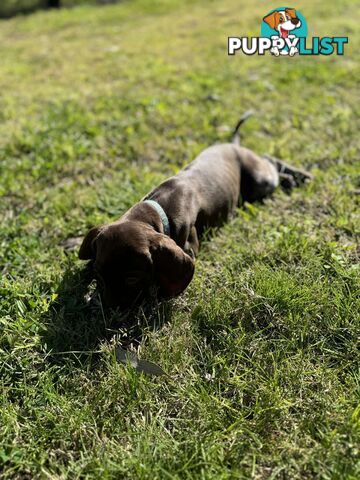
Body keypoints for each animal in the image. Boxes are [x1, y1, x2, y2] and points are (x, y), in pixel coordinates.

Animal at [80, 112, 310, 308]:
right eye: (99, 274)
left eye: (132, 278)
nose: (107, 310)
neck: (159, 207)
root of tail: (231, 144)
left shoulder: (189, 248)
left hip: (261, 181)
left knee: (269, 160)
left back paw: (299, 176)